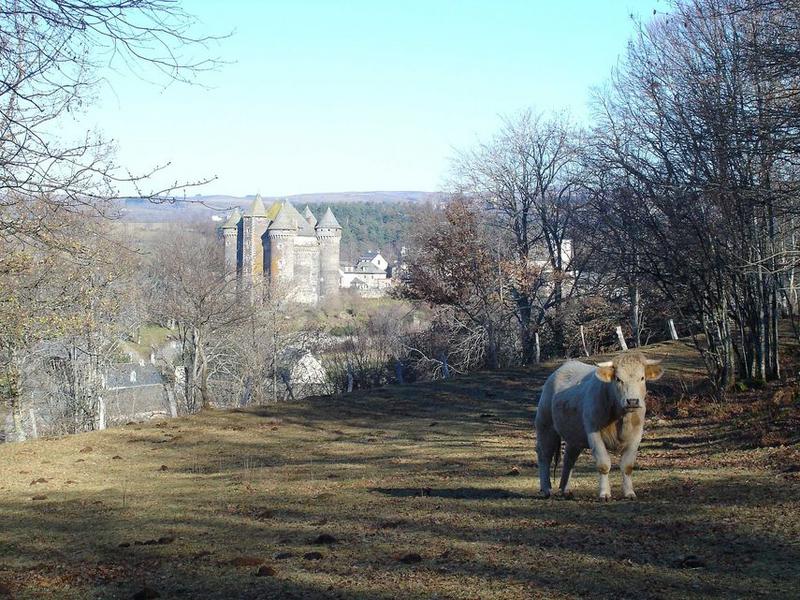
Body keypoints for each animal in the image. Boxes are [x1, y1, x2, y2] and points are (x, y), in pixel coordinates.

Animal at [536, 354, 664, 500]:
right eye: (618, 379)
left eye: (642, 378)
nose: (632, 401)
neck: (620, 418)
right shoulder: (594, 433)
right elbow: (603, 464)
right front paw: (604, 493)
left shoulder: (636, 435)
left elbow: (627, 466)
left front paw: (629, 493)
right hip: (545, 425)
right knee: (544, 455)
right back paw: (546, 489)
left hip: (575, 436)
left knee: (569, 458)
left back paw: (565, 489)